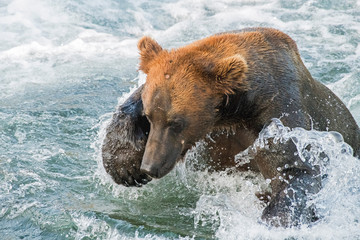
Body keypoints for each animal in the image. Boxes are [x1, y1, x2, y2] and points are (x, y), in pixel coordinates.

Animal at [102, 27, 360, 227]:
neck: (235, 111)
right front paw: (124, 166)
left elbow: (295, 168)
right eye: (150, 115)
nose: (150, 166)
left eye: (177, 122)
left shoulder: (280, 112)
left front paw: (273, 220)